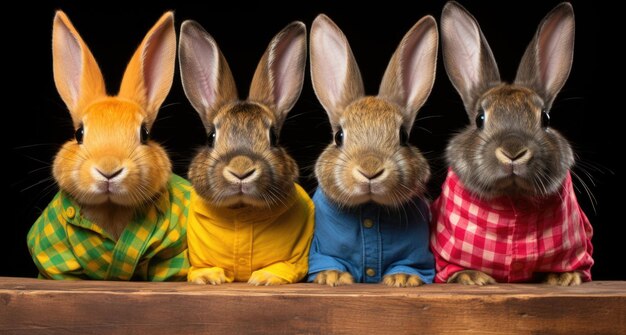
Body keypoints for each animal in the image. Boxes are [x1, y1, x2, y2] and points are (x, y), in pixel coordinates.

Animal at [178, 19, 314, 286]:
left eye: (274, 137)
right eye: (211, 137)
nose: (240, 170)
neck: (241, 211)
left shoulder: (296, 256)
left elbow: (285, 266)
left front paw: (263, 278)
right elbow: (199, 268)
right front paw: (209, 278)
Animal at [306, 15, 436, 288]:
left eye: (403, 136)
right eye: (339, 136)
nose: (370, 170)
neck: (369, 206)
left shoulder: (417, 252)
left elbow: (413, 264)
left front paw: (402, 278)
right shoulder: (323, 248)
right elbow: (326, 260)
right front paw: (332, 277)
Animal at [428, 1, 588, 288]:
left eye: (545, 118)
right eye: (480, 119)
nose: (513, 152)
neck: (513, 198)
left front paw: (565, 277)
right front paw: (472, 277)